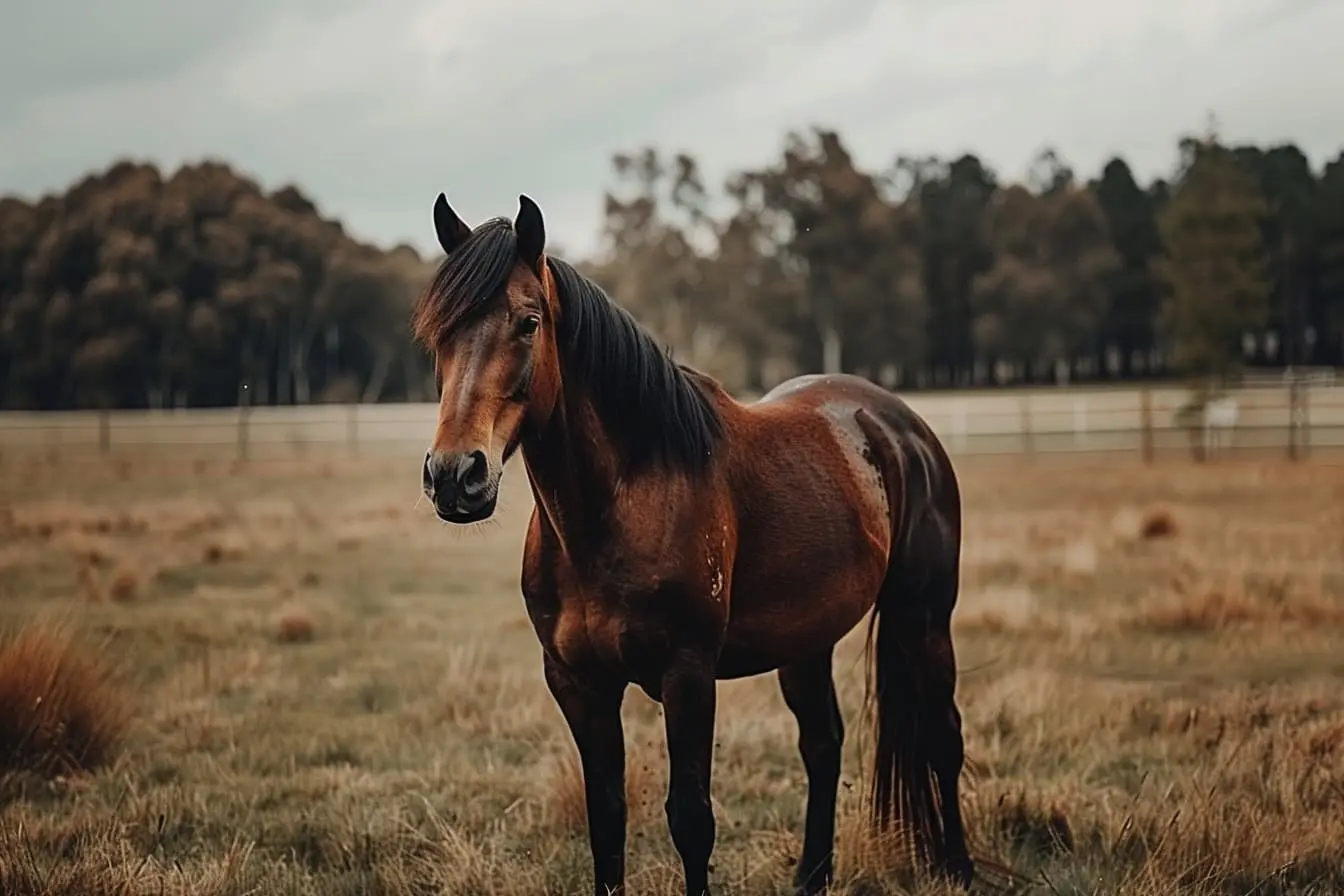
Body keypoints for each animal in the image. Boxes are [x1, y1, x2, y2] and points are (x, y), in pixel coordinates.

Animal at [413, 193, 973, 891]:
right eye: (439, 331)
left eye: (528, 322)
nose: (454, 475)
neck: (615, 509)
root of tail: (900, 425)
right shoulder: (577, 683)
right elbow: (607, 821)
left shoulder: (688, 675)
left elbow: (691, 821)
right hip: (806, 643)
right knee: (823, 743)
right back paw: (811, 876)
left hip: (924, 617)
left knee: (944, 736)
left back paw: (960, 868)